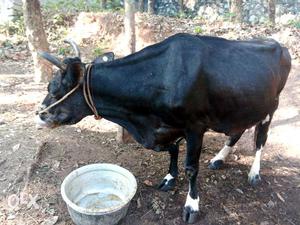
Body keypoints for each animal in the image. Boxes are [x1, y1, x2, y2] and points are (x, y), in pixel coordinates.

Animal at [34, 33, 290, 223]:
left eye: (53, 88)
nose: (40, 115)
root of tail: (278, 43)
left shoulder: (195, 126)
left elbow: (191, 168)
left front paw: (192, 205)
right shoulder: (166, 126)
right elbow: (172, 150)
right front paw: (169, 178)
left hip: (272, 106)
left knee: (261, 139)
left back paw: (254, 172)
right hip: (240, 107)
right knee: (237, 131)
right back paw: (219, 159)